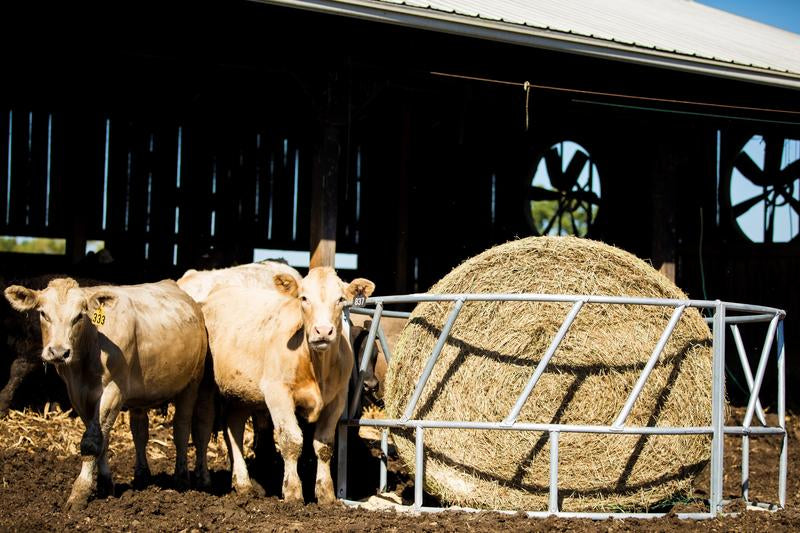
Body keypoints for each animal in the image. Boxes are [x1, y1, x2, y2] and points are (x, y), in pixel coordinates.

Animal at [3, 278, 208, 511]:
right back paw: (142, 476)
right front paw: (105, 484)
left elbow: (92, 441)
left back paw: (181, 478)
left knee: (181, 428)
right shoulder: (79, 396)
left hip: (191, 383)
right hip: (140, 395)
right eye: (43, 313)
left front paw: (79, 493)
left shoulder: (112, 390)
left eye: (79, 316)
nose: (59, 352)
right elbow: (103, 438)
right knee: (140, 432)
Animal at [194, 267, 374, 503]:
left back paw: (243, 483)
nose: (323, 331)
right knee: (203, 428)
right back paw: (204, 479)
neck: (316, 366)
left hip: (239, 393)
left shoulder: (336, 400)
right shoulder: (277, 393)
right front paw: (293, 493)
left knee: (233, 429)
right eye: (304, 298)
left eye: (341, 299)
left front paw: (326, 494)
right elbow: (291, 440)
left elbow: (324, 445)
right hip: (206, 387)